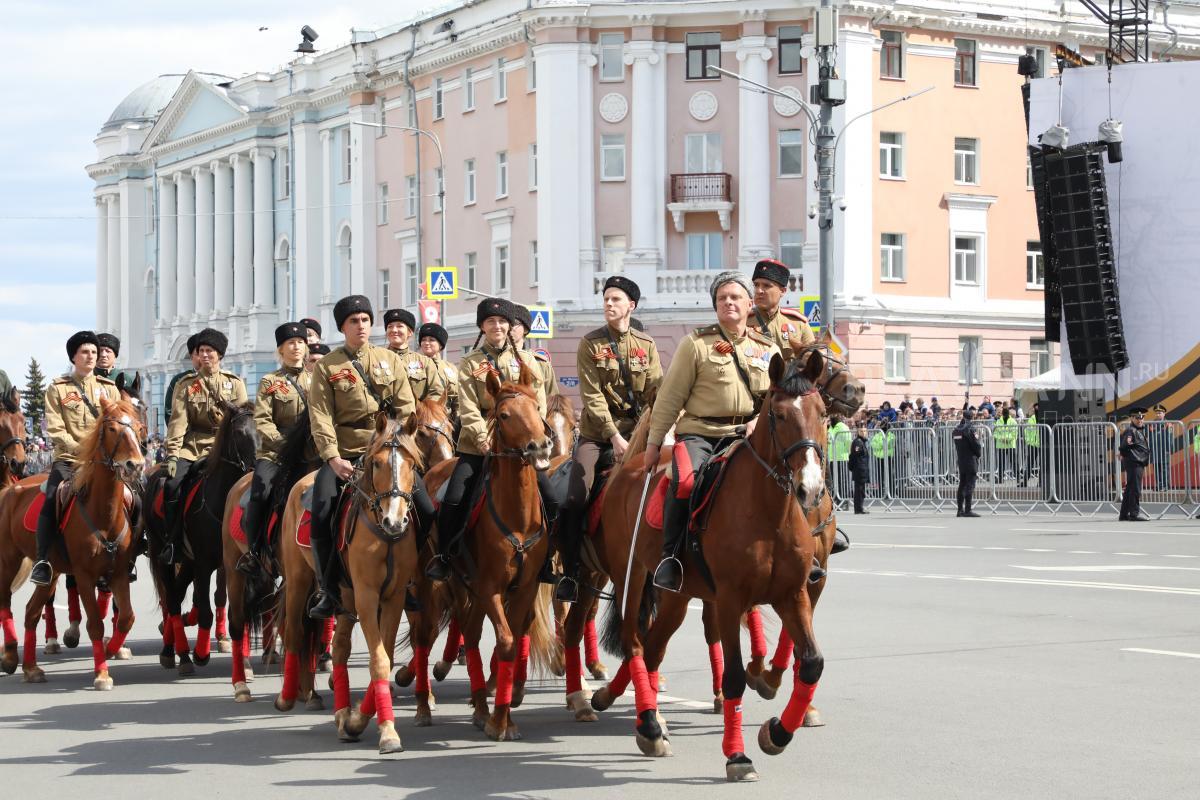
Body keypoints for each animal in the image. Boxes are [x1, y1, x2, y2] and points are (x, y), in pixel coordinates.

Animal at [0, 398, 144, 690]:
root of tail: (9, 489)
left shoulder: (119, 573)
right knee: (5, 600)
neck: (103, 513)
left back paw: (31, 668)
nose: (135, 465)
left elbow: (126, 617)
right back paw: (10, 655)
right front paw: (101, 673)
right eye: (112, 428)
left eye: (139, 427)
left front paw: (112, 649)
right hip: (9, 560)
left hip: (51, 572)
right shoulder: (84, 575)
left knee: (32, 612)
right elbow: (95, 624)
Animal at [588, 355, 825, 782]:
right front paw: (737, 756)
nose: (811, 489)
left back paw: (641, 719)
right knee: (635, 643)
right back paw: (646, 721)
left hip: (676, 597)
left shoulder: (792, 594)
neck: (769, 513)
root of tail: (629, 467)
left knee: (652, 649)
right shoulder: (730, 600)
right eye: (780, 415)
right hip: (631, 578)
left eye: (822, 412)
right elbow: (733, 678)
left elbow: (812, 664)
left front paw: (777, 734)